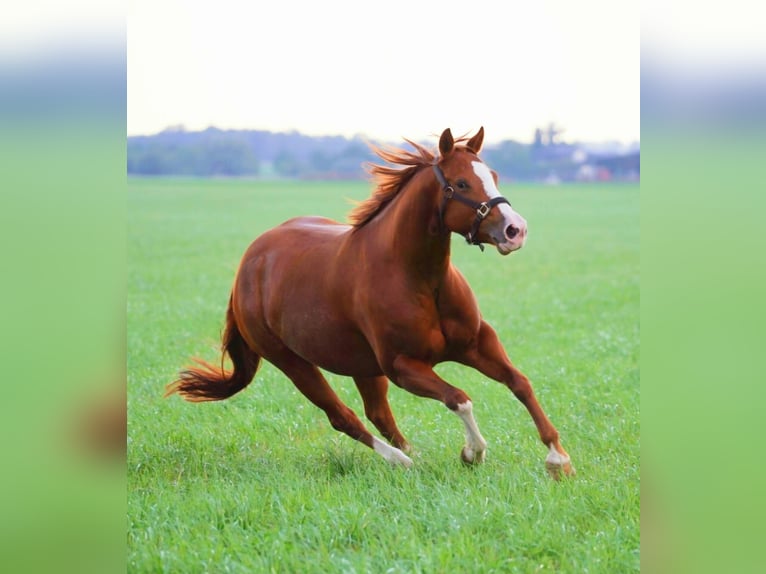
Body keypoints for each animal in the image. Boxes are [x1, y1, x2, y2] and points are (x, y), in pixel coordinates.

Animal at [166, 127, 576, 482]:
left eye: (492, 174)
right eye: (461, 184)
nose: (515, 230)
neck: (418, 277)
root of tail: (248, 266)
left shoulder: (476, 344)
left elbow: (519, 382)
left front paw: (558, 458)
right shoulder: (403, 366)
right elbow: (459, 399)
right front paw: (472, 453)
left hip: (360, 364)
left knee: (378, 413)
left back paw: (414, 456)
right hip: (294, 363)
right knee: (343, 417)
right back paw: (401, 461)